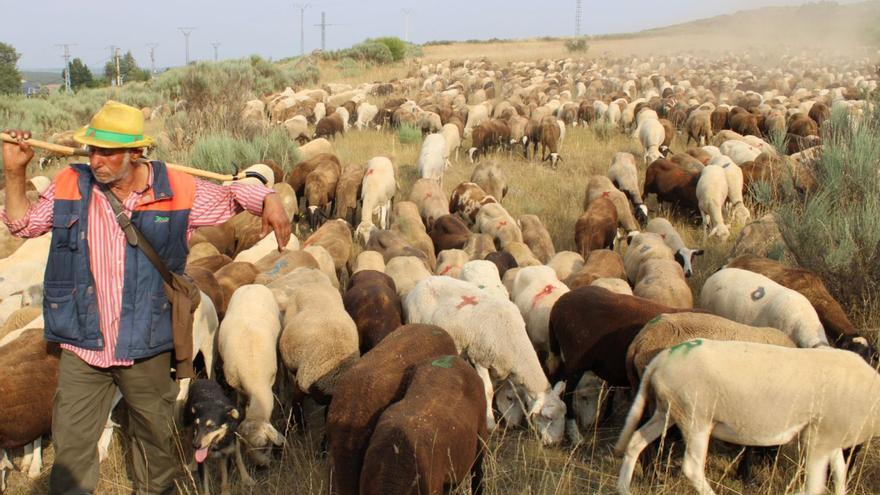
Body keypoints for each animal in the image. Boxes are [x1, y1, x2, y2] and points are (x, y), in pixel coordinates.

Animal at [218, 285, 284, 464]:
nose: (262, 466)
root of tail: (252, 285)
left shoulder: (271, 378)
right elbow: (240, 402)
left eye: (264, 444)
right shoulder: (236, 385)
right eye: (244, 446)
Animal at [404, 276, 566, 443]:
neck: (513, 339)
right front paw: (491, 424)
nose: (556, 442)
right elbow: (487, 390)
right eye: (549, 418)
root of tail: (424, 281)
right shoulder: (480, 357)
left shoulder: (497, 365)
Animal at [615, 340, 880, 495]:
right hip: (695, 416)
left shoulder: (830, 436)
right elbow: (816, 486)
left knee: (636, 440)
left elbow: (840, 473)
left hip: (668, 410)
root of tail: (661, 359)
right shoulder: (819, 439)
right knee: (692, 467)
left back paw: (623, 489)